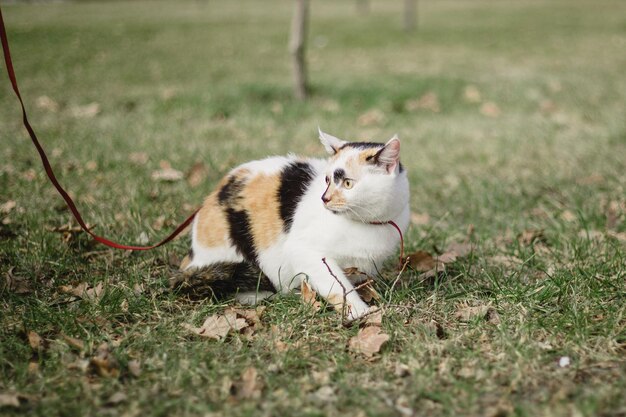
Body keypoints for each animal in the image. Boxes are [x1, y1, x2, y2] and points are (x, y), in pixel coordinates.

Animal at [177, 130, 410, 322]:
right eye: (327, 180)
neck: (367, 223)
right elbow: (337, 285)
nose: (324, 198)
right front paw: (359, 311)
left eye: (348, 183)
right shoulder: (304, 250)